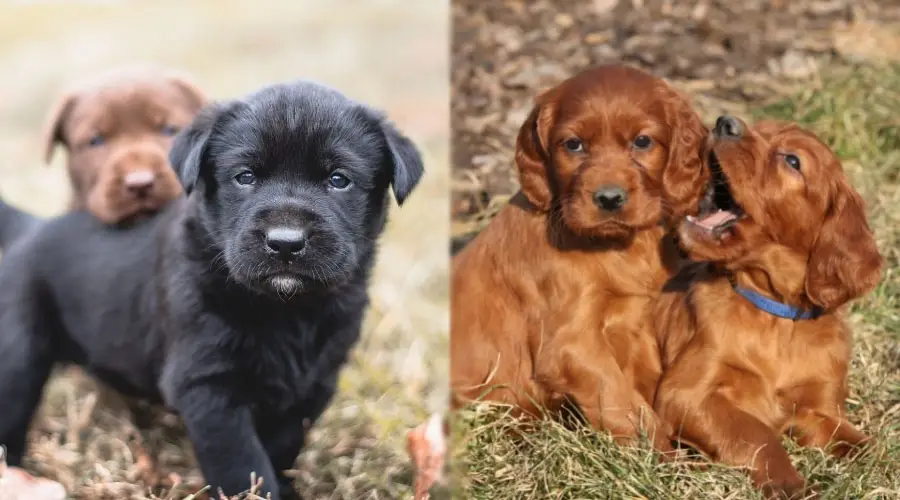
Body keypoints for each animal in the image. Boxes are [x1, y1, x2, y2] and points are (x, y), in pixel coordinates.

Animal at [0, 80, 424, 498]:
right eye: (245, 176)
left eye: (339, 179)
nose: (285, 243)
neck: (287, 308)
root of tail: (31, 228)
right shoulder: (207, 383)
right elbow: (241, 463)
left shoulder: (311, 384)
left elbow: (281, 446)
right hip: (18, 355)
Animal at [454, 64, 708, 452]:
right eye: (573, 144)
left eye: (642, 141)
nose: (609, 198)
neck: (616, 248)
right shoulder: (571, 344)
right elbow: (621, 401)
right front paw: (663, 457)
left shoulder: (638, 323)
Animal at [652, 116, 880, 496]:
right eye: (759, 126)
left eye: (792, 160)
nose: (724, 122)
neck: (776, 316)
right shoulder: (685, 394)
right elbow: (757, 433)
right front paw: (789, 484)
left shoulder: (822, 410)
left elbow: (866, 445)